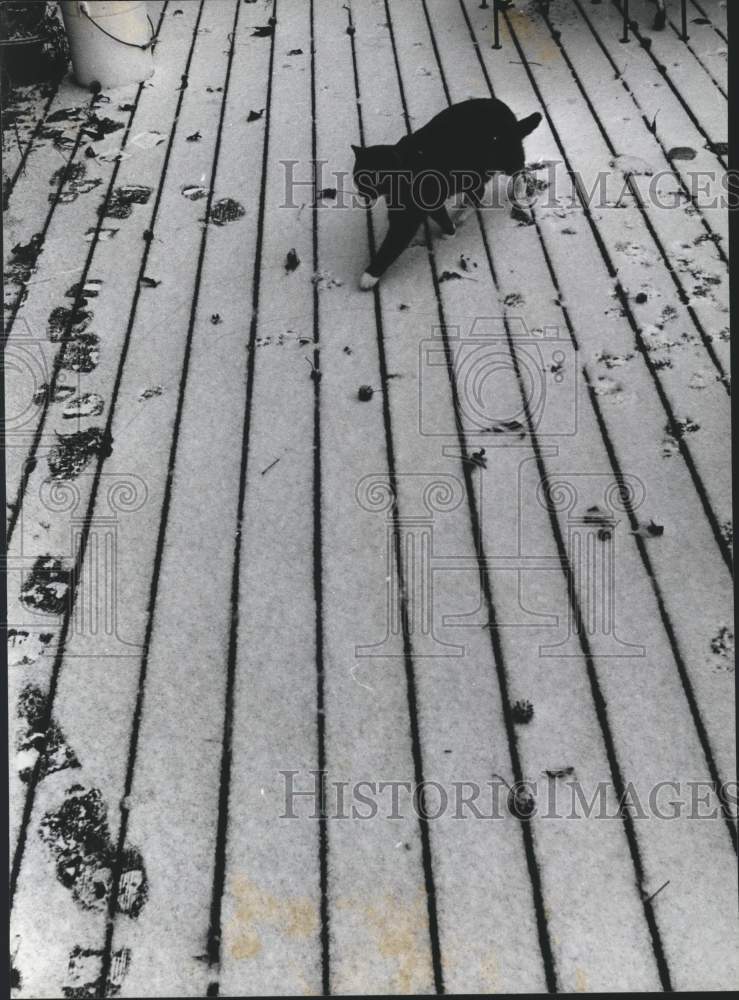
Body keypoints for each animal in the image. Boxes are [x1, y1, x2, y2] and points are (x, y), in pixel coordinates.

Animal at [350, 97, 540, 288]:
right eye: (357, 178)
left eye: (371, 179)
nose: (361, 194)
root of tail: (505, 109)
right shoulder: (422, 205)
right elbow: (440, 216)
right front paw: (450, 230)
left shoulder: (410, 215)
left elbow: (392, 245)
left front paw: (369, 275)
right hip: (472, 174)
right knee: (479, 192)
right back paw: (463, 213)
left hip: (505, 158)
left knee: (520, 170)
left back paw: (518, 190)